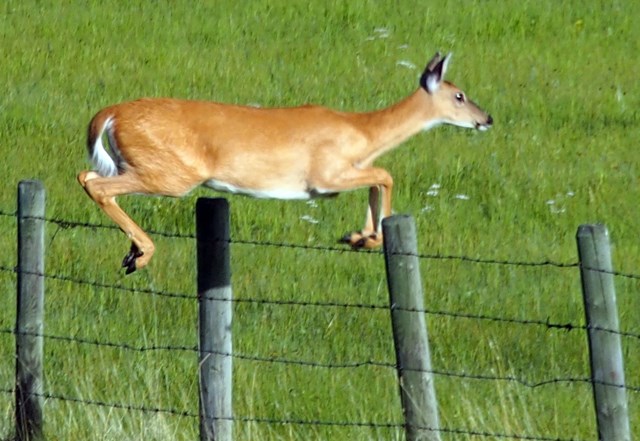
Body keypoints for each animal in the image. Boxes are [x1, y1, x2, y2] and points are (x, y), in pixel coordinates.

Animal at [77, 51, 492, 272]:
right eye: (459, 95)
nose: (486, 118)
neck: (363, 134)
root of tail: (110, 114)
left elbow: (378, 178)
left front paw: (359, 237)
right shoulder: (324, 176)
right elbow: (384, 174)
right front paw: (367, 237)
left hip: (137, 164)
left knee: (88, 174)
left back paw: (133, 251)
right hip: (171, 173)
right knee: (95, 183)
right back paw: (141, 254)